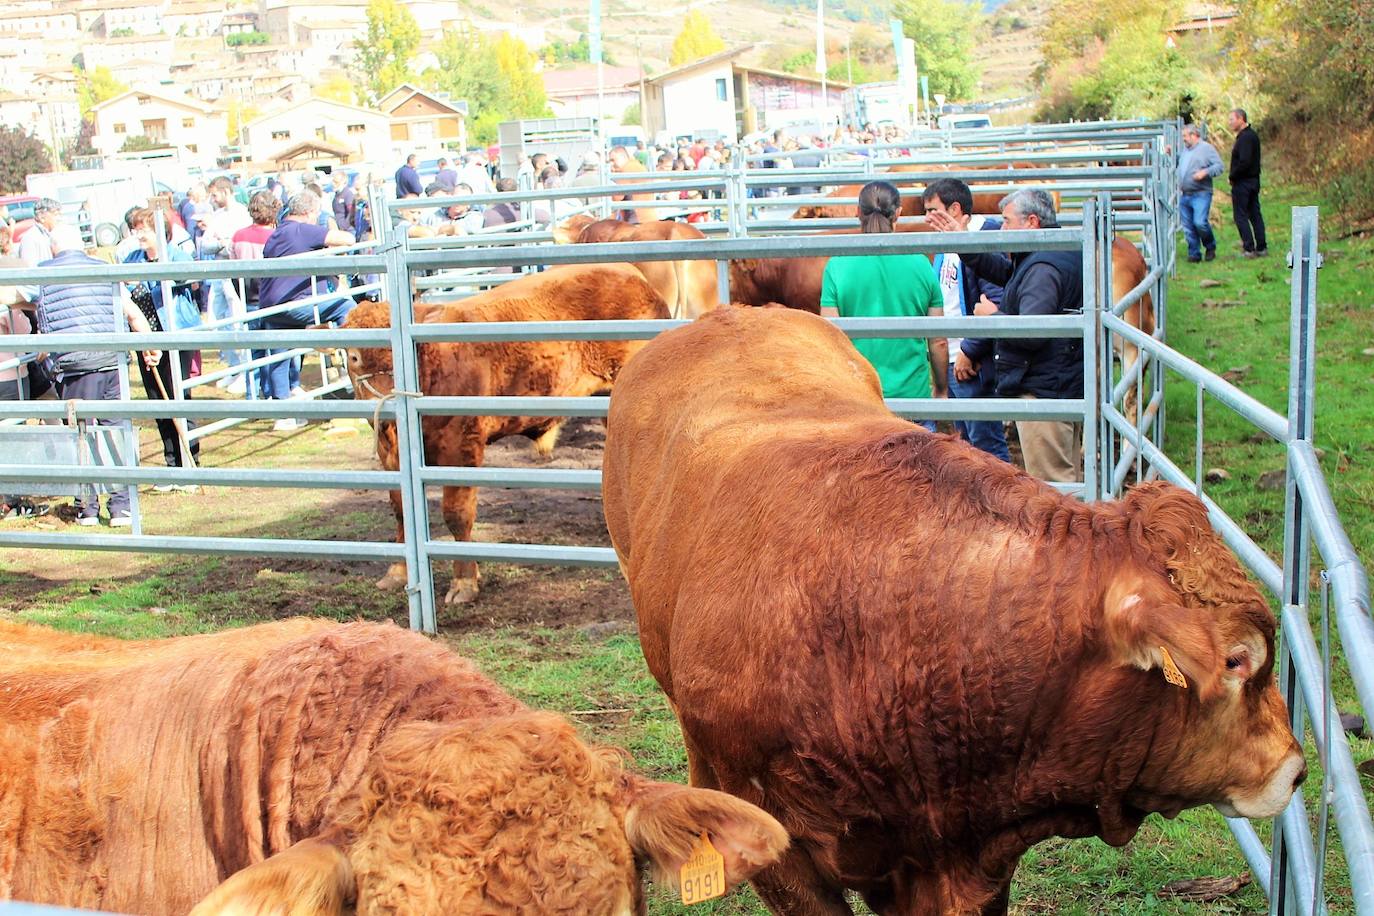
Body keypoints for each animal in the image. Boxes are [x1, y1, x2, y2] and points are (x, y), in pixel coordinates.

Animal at [340, 265, 667, 604]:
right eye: (354, 357)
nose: (385, 408)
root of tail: (628, 272)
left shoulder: (462, 447)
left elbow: (457, 514)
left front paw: (464, 582)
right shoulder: (390, 455)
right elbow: (401, 508)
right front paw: (397, 573)